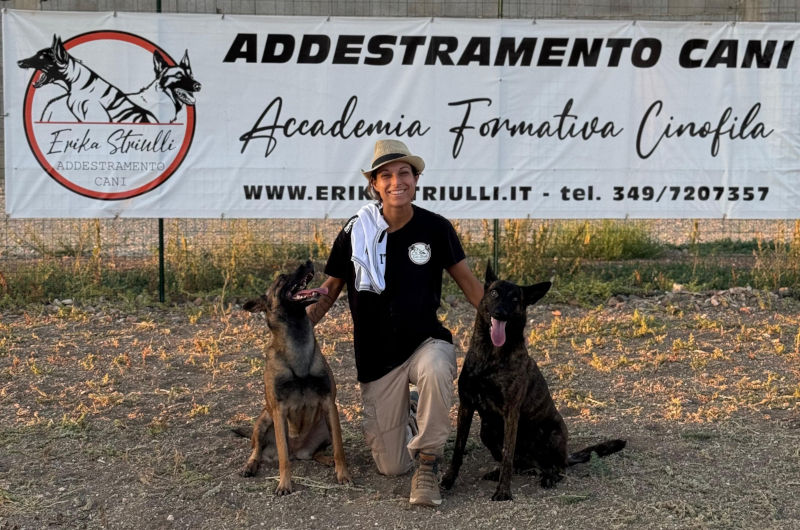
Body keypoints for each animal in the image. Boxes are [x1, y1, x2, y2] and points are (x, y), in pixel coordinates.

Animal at [235, 260, 351, 495]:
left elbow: (339, 448)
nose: (307, 261)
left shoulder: (329, 403)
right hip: (264, 419)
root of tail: (298, 452)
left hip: (325, 426)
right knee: (257, 450)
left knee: (317, 452)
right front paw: (284, 484)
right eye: (281, 278)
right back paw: (250, 465)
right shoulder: (278, 411)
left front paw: (342, 473)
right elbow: (282, 458)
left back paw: (326, 459)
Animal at [441, 263, 625, 501]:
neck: (491, 355)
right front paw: (448, 480)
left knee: (555, 467)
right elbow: (458, 449)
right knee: (521, 464)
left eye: (515, 299)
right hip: (487, 432)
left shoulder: (511, 411)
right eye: (494, 293)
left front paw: (503, 492)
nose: (500, 313)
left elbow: (508, 455)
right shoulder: (466, 404)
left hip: (552, 433)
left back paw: (549, 476)